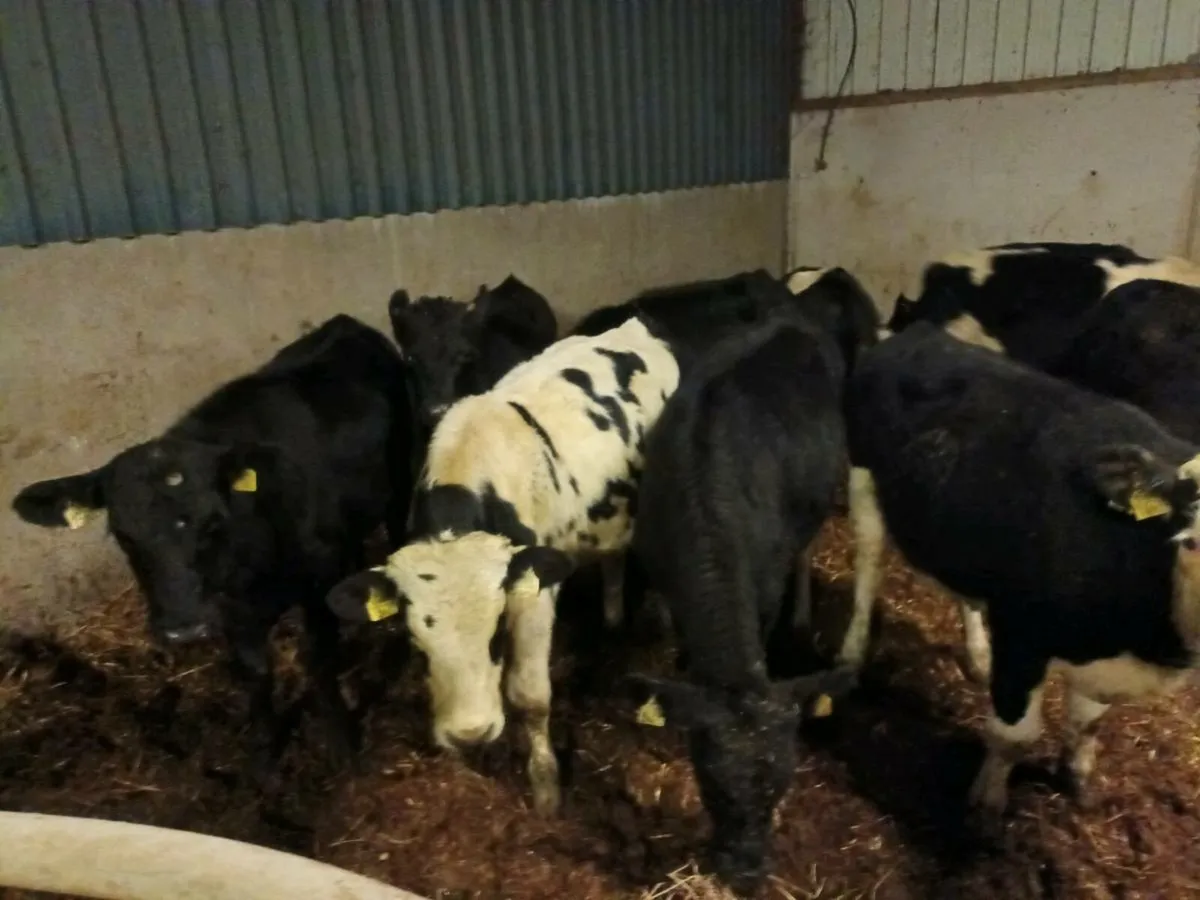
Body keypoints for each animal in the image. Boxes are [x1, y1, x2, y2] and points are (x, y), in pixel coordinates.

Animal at [11, 314, 422, 775]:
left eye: (212, 522)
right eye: (123, 533)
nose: (182, 627)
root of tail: (344, 324)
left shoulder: (316, 583)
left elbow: (318, 660)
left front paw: (341, 743)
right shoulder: (230, 611)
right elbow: (255, 674)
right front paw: (265, 755)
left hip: (400, 485)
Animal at [323, 316, 679, 815]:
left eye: (495, 634)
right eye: (418, 644)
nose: (470, 732)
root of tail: (634, 327)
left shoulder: (534, 593)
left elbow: (530, 697)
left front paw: (546, 791)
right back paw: (611, 620)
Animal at [837, 322, 1200, 836]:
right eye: (1192, 540)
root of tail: (919, 331)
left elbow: (1086, 724)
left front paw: (1077, 780)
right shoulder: (1022, 636)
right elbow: (1014, 736)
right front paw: (986, 809)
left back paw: (977, 655)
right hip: (863, 479)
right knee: (868, 566)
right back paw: (850, 656)